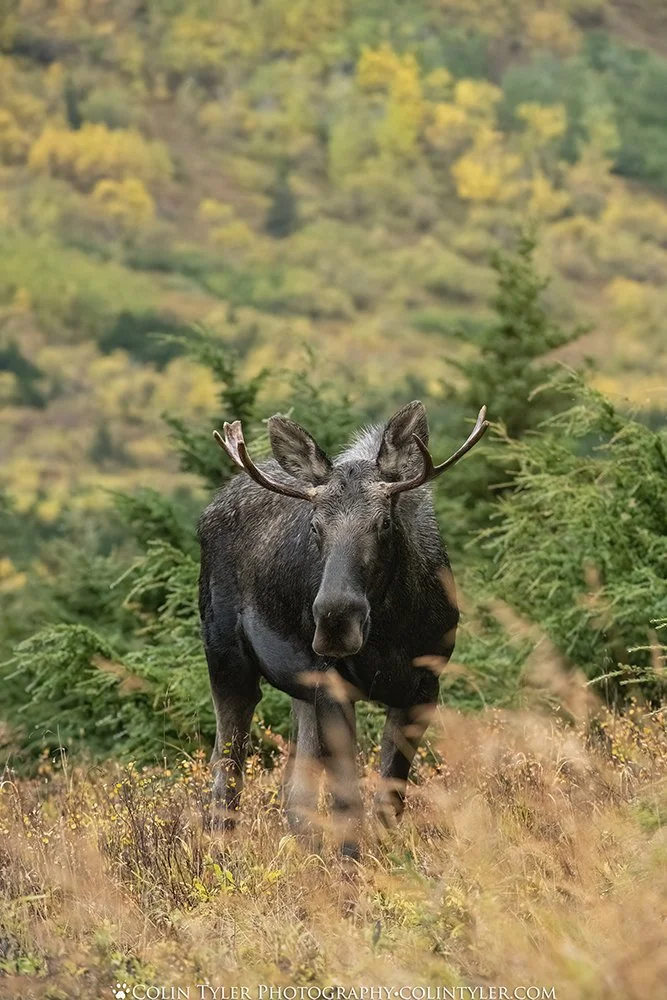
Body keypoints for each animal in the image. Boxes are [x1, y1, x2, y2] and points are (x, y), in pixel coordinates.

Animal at [197, 400, 488, 857]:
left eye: (384, 524)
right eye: (314, 525)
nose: (335, 619)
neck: (392, 635)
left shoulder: (426, 683)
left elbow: (390, 795)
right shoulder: (334, 682)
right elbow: (346, 799)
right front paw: (351, 867)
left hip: (300, 684)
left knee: (294, 790)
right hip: (226, 657)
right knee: (227, 765)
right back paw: (219, 856)